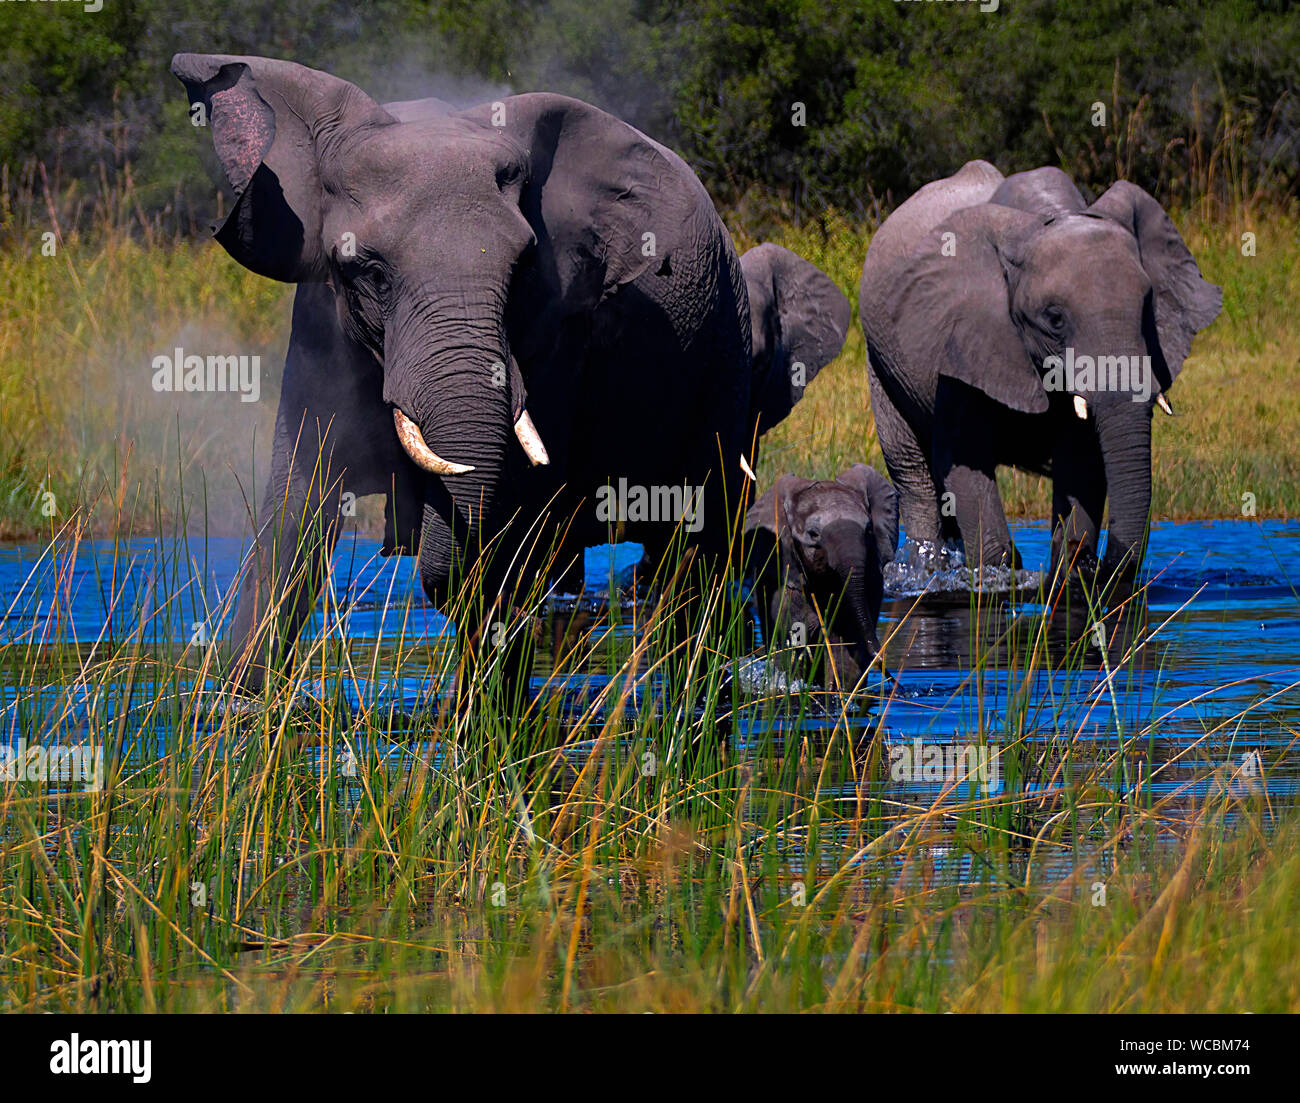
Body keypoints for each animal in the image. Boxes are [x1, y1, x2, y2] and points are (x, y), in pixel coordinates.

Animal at [171, 53, 849, 697]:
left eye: (522, 268)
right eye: (367, 272)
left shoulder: (555, 338)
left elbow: (514, 520)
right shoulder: (318, 322)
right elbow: (294, 515)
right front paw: (234, 707)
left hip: (722, 356)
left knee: (696, 549)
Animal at [744, 463, 899, 690]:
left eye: (869, 530)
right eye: (813, 535)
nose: (881, 661)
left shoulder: (872, 580)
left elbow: (846, 645)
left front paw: (839, 691)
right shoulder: (785, 580)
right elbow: (794, 641)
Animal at [858, 161, 1222, 589]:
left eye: (1148, 304)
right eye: (1055, 319)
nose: (1102, 565)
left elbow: (1081, 462)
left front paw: (1069, 576)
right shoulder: (963, 341)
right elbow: (962, 458)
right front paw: (998, 577)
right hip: (881, 362)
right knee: (913, 471)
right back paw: (923, 572)